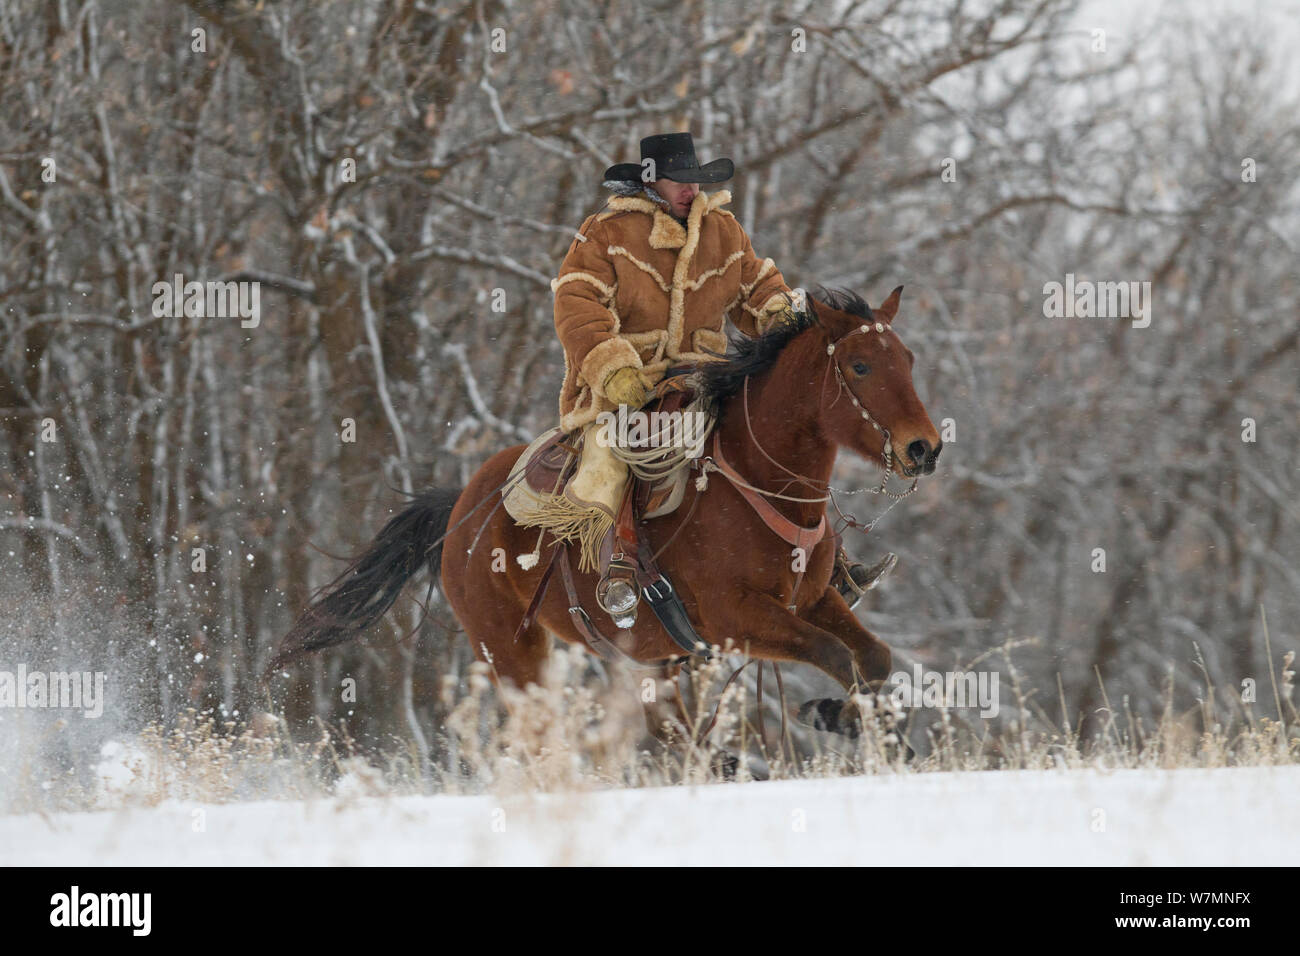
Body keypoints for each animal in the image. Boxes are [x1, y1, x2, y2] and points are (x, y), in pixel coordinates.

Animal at [269, 290, 946, 738]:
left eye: (909, 360)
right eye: (860, 365)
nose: (924, 447)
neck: (759, 487)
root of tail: (462, 506)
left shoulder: (812, 600)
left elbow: (873, 658)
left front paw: (852, 717)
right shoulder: (739, 617)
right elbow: (835, 656)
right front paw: (838, 715)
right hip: (512, 654)